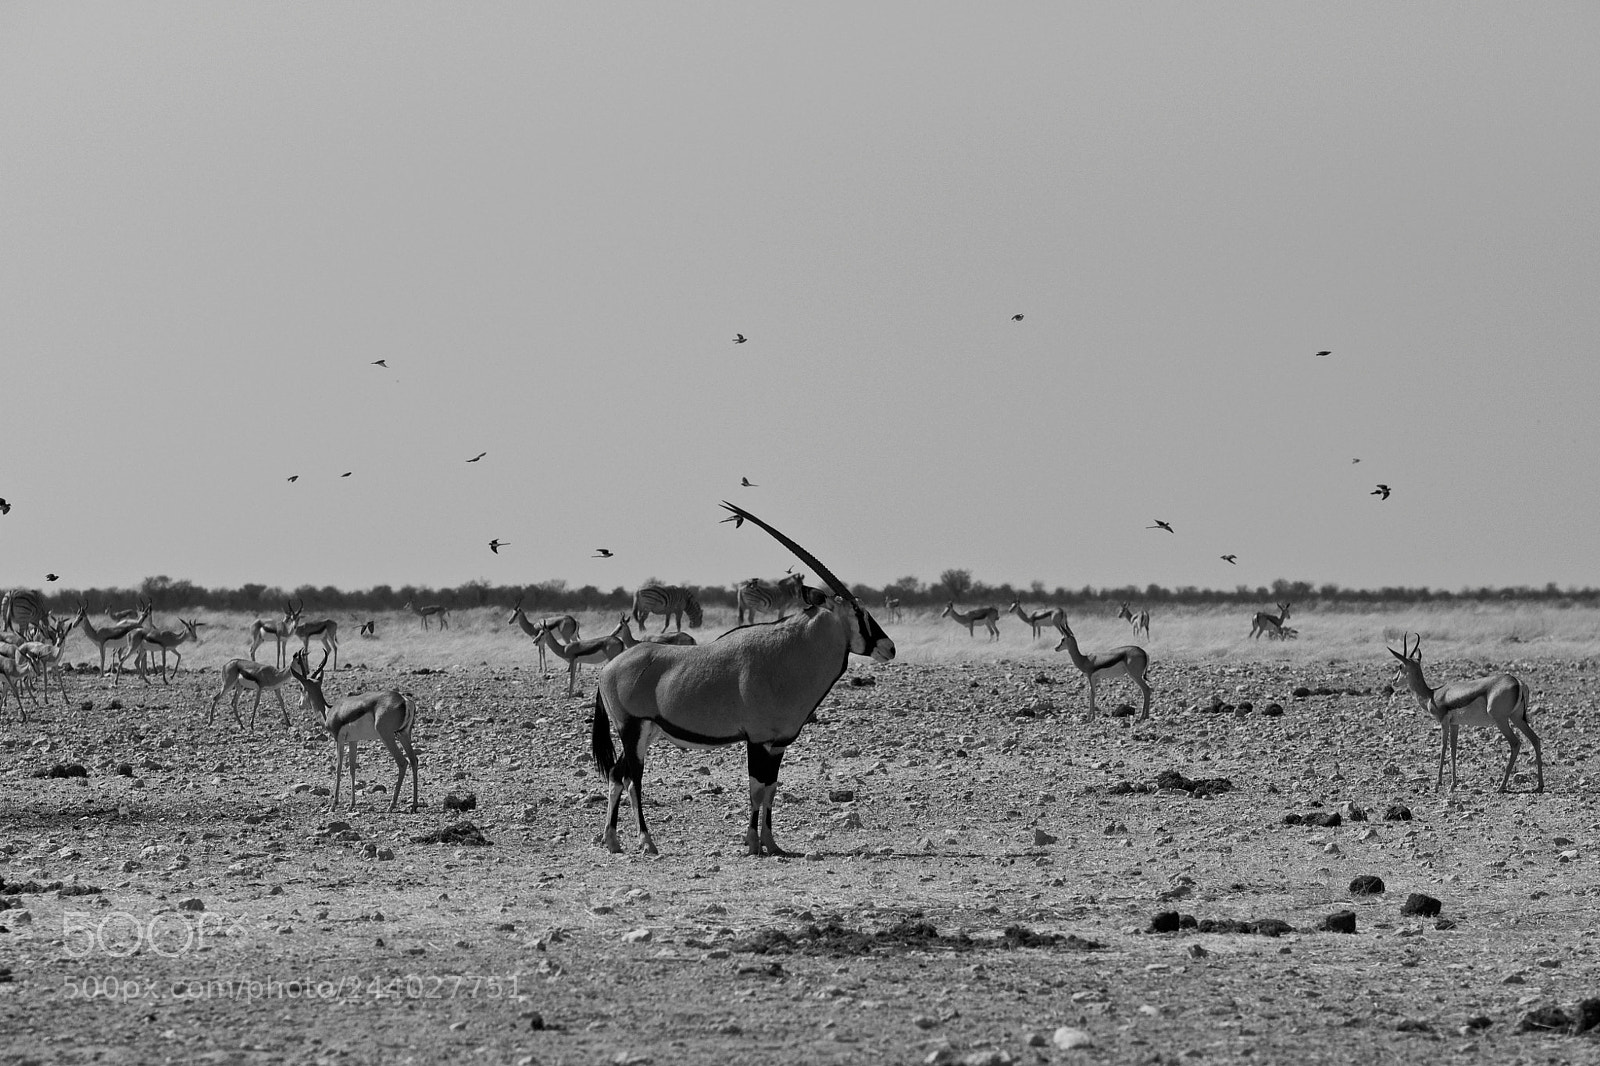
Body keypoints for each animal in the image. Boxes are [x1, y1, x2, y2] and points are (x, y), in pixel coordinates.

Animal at [290, 651, 419, 812]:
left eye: (301, 688)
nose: (299, 704)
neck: (329, 711)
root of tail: (404, 700)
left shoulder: (339, 739)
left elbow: (338, 768)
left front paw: (333, 804)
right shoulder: (353, 740)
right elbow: (352, 768)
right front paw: (351, 804)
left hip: (387, 736)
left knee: (402, 762)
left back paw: (391, 805)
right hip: (403, 734)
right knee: (414, 760)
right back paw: (414, 805)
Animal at [593, 502, 894, 857]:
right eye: (859, 614)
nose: (889, 648)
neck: (790, 655)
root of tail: (609, 668)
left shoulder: (778, 744)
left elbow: (771, 789)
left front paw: (772, 843)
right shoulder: (757, 740)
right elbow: (755, 789)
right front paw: (752, 843)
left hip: (646, 732)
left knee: (617, 774)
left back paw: (613, 840)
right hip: (632, 728)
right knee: (634, 778)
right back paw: (646, 841)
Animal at [1388, 634, 1543, 793]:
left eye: (1400, 666)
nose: (1393, 680)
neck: (1432, 695)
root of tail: (1517, 681)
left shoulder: (1443, 721)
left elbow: (1443, 747)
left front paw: (1437, 784)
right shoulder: (1455, 724)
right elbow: (1453, 749)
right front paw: (1453, 784)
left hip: (1501, 720)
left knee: (1516, 743)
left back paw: (1501, 787)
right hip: (1517, 718)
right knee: (1535, 739)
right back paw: (1539, 786)